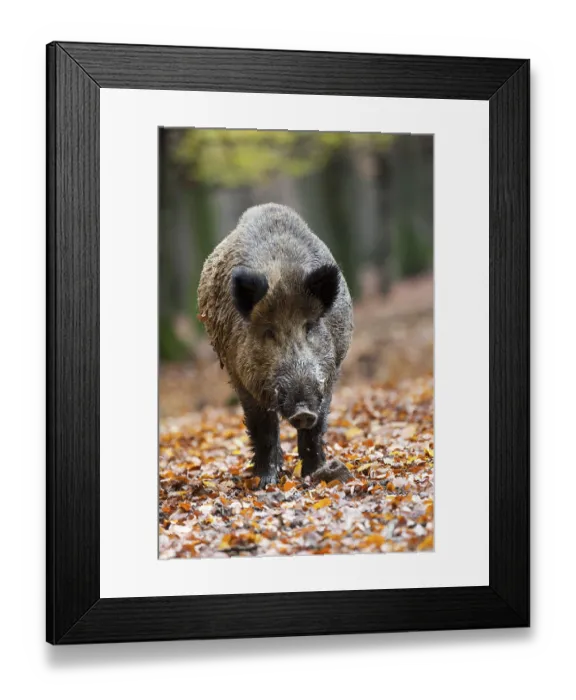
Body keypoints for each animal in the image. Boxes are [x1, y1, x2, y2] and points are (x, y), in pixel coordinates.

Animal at [198, 203, 354, 487]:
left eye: (309, 326)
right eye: (269, 331)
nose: (303, 411)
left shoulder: (329, 374)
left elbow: (316, 428)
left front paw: (314, 474)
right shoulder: (241, 377)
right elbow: (263, 427)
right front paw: (265, 482)